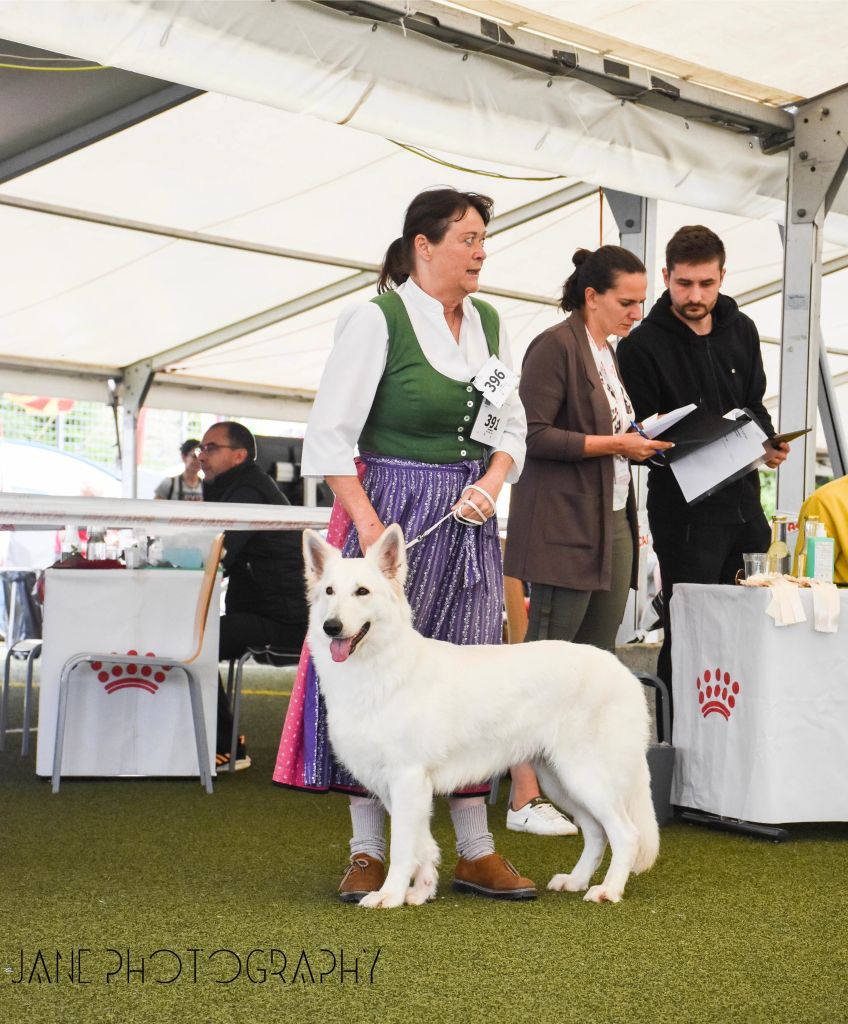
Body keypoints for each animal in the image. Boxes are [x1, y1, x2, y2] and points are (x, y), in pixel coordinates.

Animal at [301, 524, 659, 909]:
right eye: (329, 591)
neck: (383, 665)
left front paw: (390, 895)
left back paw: (609, 890)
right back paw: (575, 881)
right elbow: (423, 846)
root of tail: (622, 670)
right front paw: (421, 891)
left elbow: (403, 848)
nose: (331, 626)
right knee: (595, 832)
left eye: (362, 592)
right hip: (559, 780)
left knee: (625, 834)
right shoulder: (400, 787)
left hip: (586, 776)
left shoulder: (406, 778)